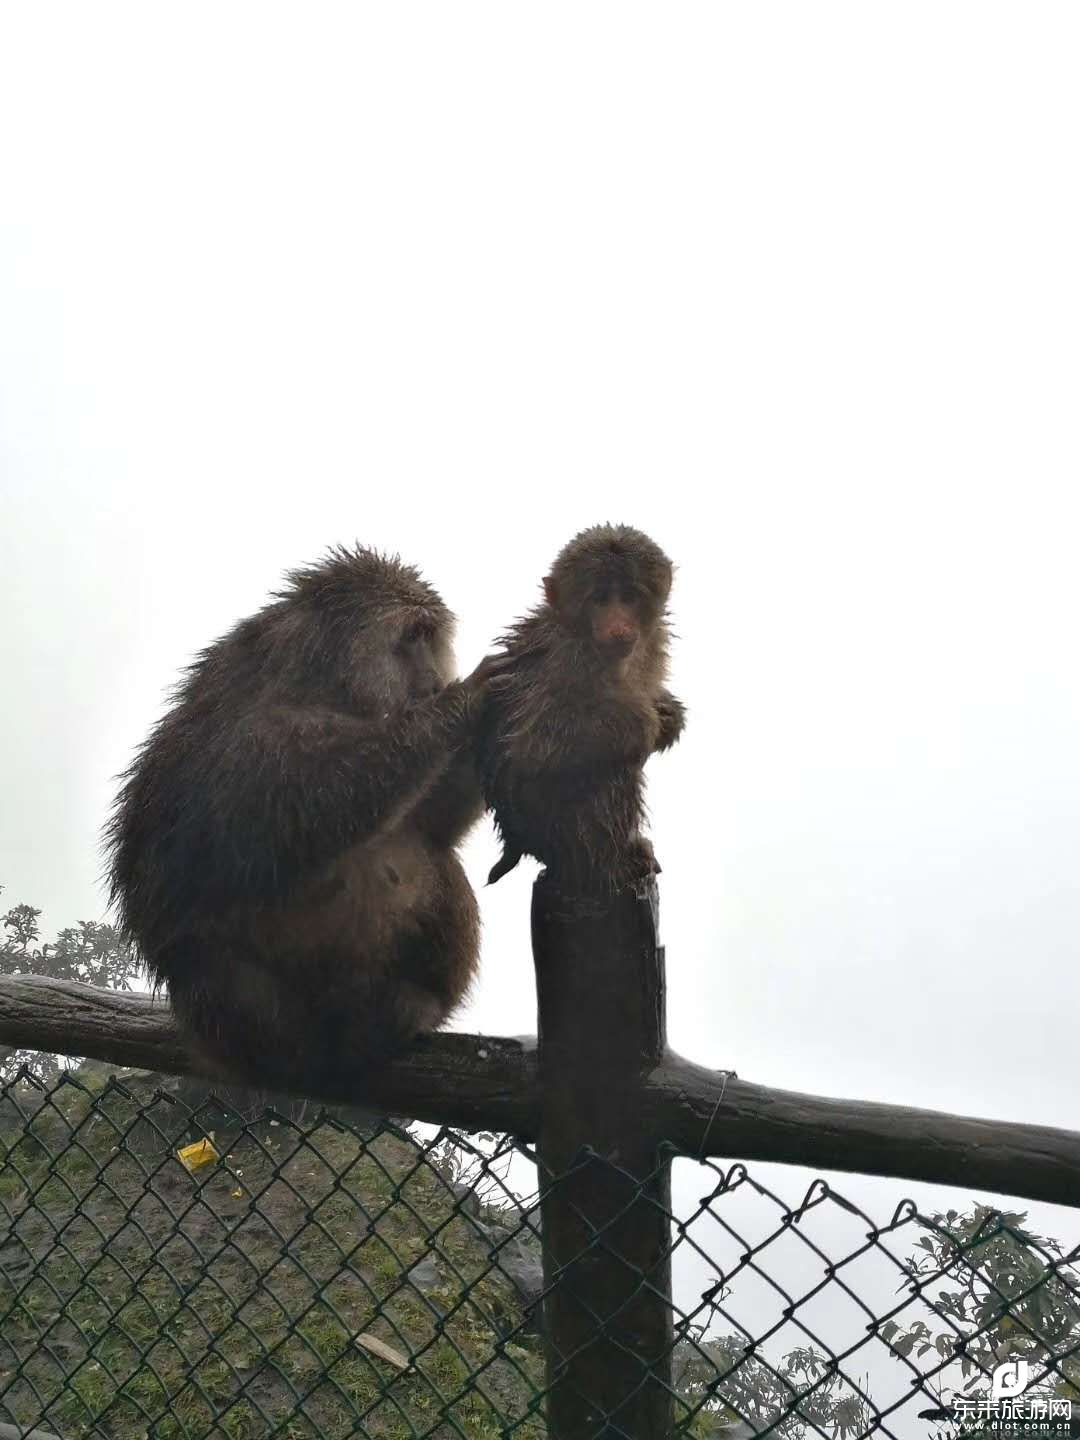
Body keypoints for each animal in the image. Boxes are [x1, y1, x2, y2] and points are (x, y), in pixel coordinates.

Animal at [104, 547, 504, 1088]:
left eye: (430, 636)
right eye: (412, 637)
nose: (434, 681)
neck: (330, 687)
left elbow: (432, 822)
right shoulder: (255, 727)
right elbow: (298, 800)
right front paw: (460, 702)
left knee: (436, 861)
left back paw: (412, 1004)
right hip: (239, 1007)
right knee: (212, 962)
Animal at [480, 524, 688, 892]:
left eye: (629, 597)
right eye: (600, 599)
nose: (619, 626)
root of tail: (519, 843)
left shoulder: (652, 642)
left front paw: (668, 713)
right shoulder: (567, 660)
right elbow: (530, 750)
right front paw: (645, 721)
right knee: (613, 768)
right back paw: (616, 860)